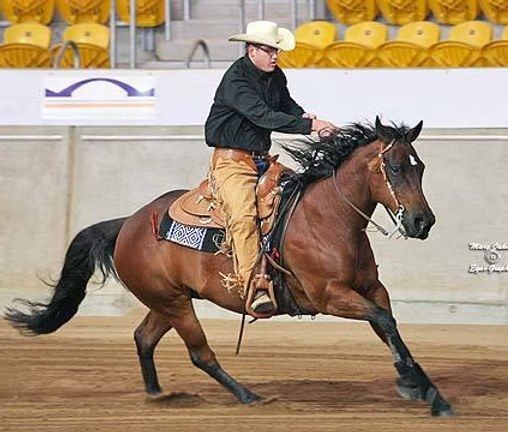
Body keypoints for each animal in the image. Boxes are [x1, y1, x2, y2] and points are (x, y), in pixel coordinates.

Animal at [5, 117, 454, 416]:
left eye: (420, 167)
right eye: (394, 167)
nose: (423, 222)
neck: (327, 216)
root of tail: (127, 223)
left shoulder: (372, 289)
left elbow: (388, 327)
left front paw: (431, 393)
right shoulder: (331, 296)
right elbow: (384, 321)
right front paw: (412, 385)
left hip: (168, 301)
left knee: (143, 338)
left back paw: (158, 395)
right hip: (175, 304)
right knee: (200, 354)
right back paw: (248, 396)